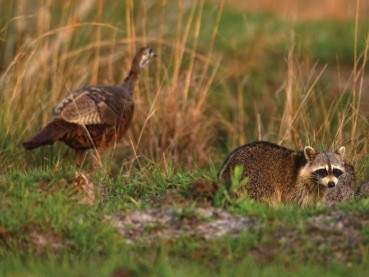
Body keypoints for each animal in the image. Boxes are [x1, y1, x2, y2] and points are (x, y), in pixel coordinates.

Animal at [217, 141, 346, 206]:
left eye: (335, 170)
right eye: (323, 171)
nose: (331, 184)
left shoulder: (317, 188)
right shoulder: (296, 185)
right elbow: (295, 200)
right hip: (253, 176)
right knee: (267, 195)